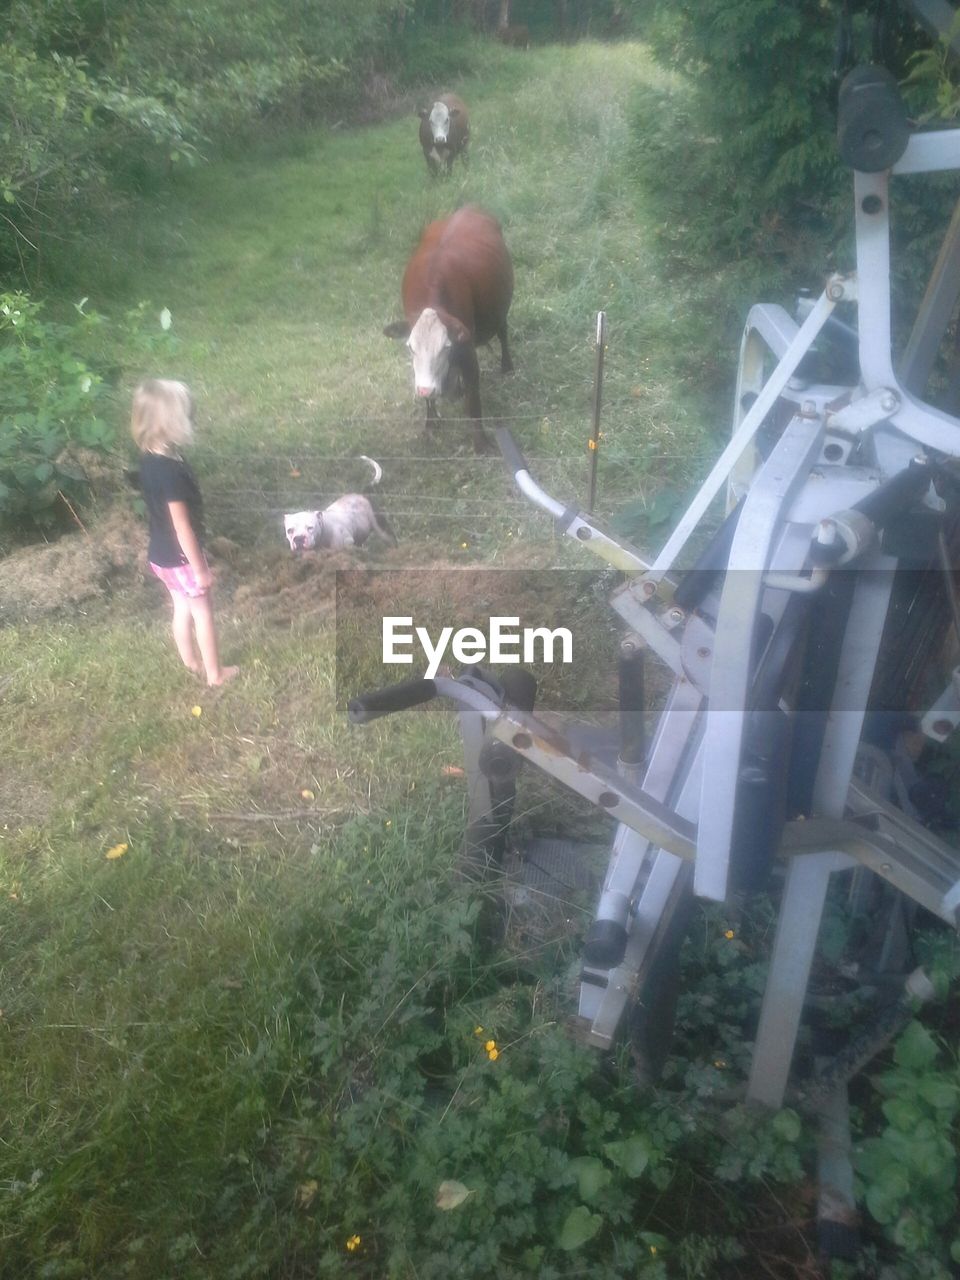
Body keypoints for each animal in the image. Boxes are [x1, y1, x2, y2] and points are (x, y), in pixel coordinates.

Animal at [386, 207, 514, 453]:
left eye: (446, 347)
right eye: (410, 347)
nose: (425, 389)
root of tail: (469, 208)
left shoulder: (467, 350)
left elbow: (474, 401)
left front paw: (481, 443)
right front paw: (430, 424)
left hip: (500, 308)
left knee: (503, 331)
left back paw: (507, 366)